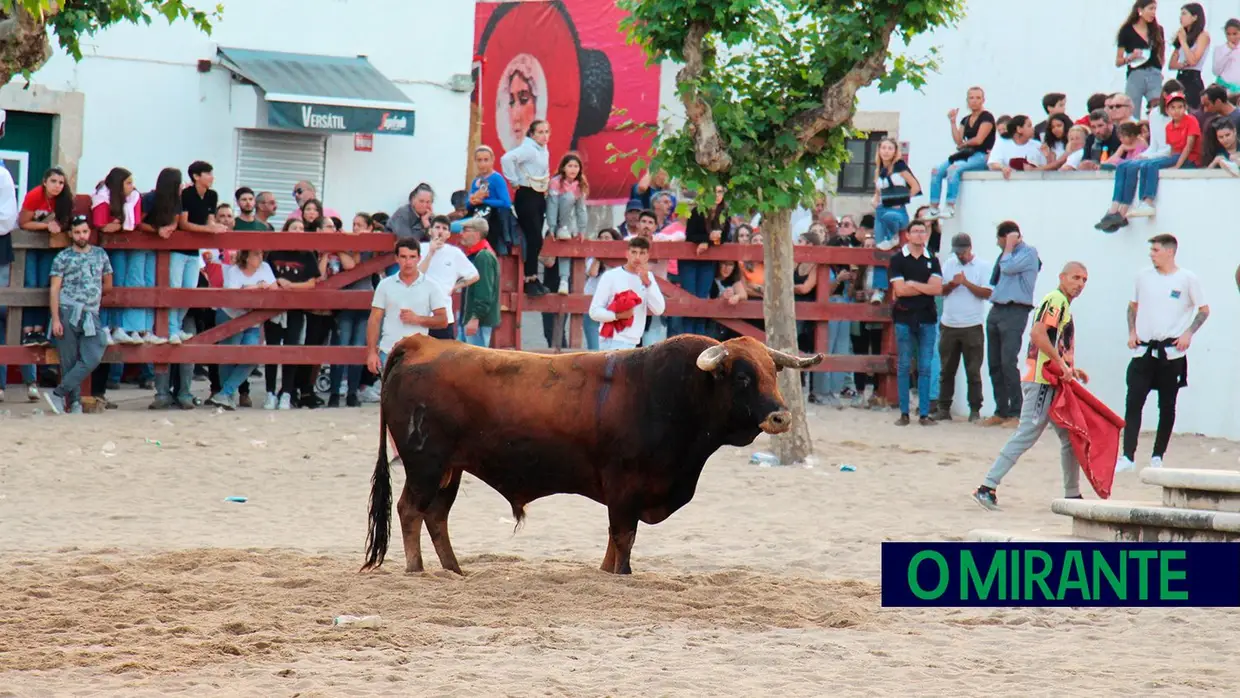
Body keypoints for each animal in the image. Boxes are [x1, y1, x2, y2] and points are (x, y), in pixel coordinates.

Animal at [359, 334, 823, 575]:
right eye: (743, 377)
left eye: (773, 371)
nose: (781, 416)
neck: (672, 393)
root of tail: (421, 341)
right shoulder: (625, 488)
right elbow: (624, 538)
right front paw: (622, 575)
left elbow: (615, 540)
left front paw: (605, 572)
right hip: (425, 465)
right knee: (410, 511)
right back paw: (417, 570)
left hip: (449, 471)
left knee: (436, 516)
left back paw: (454, 571)